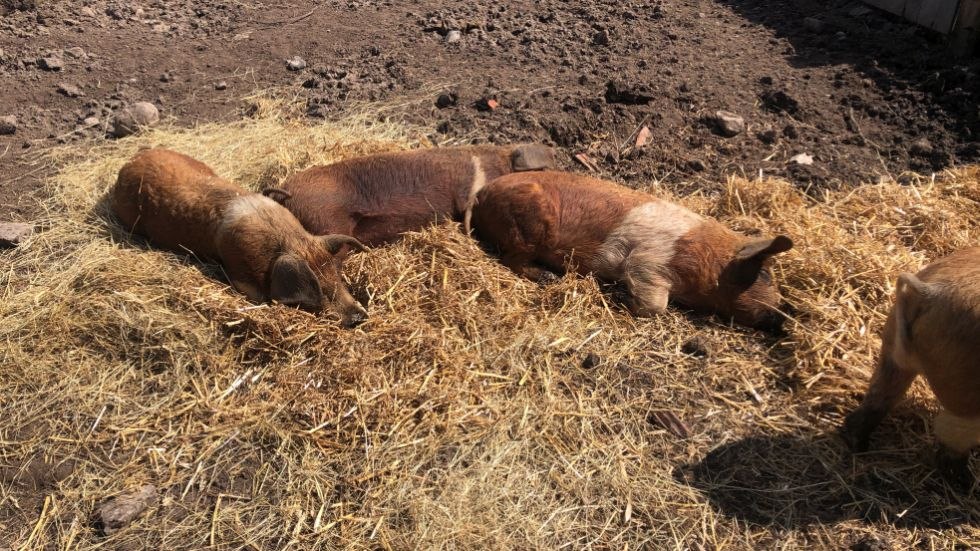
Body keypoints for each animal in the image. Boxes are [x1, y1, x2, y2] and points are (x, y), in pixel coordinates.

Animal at [111, 148, 370, 328]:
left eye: (336, 273)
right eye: (314, 286)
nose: (358, 317)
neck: (287, 241)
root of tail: (133, 159)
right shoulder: (240, 275)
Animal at [468, 171, 796, 332]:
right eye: (765, 276)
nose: (786, 317)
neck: (711, 262)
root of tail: (482, 195)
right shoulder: (648, 262)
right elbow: (654, 305)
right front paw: (619, 298)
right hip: (529, 228)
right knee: (511, 260)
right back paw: (548, 277)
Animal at [844, 248, 980, 486]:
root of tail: (931, 293)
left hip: (892, 350)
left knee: (879, 395)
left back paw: (857, 444)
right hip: (966, 396)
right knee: (949, 432)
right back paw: (965, 482)